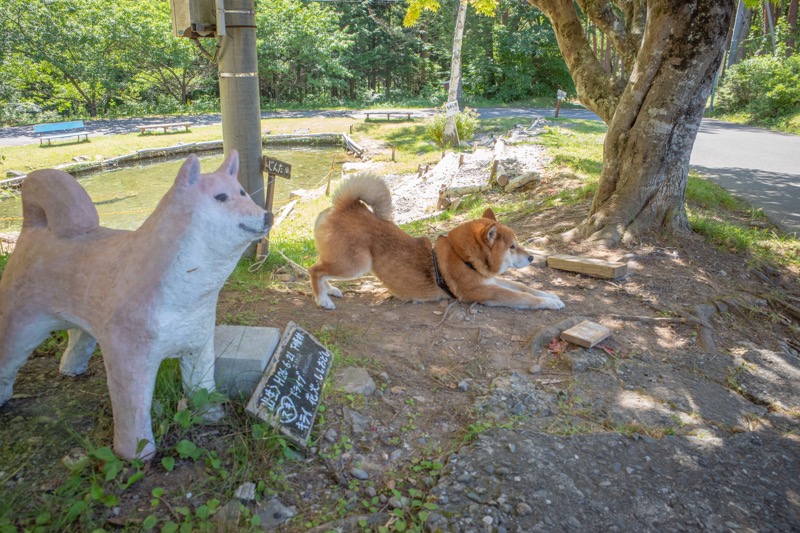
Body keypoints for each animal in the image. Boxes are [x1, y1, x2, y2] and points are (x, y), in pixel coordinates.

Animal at [0, 150, 272, 458]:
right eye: (221, 197)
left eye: (243, 192)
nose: (268, 215)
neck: (185, 296)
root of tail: (34, 229)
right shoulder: (129, 358)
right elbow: (133, 411)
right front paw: (136, 455)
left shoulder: (198, 346)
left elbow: (201, 386)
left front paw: (211, 415)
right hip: (22, 323)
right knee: (8, 358)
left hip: (82, 315)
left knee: (78, 339)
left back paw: (71, 369)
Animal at [310, 175, 564, 310]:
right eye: (512, 246)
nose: (531, 257)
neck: (464, 257)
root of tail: (346, 206)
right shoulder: (483, 291)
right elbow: (524, 297)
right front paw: (549, 303)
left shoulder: (490, 281)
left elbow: (524, 287)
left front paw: (550, 295)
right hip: (357, 264)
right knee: (315, 270)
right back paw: (322, 300)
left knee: (320, 270)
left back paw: (329, 290)